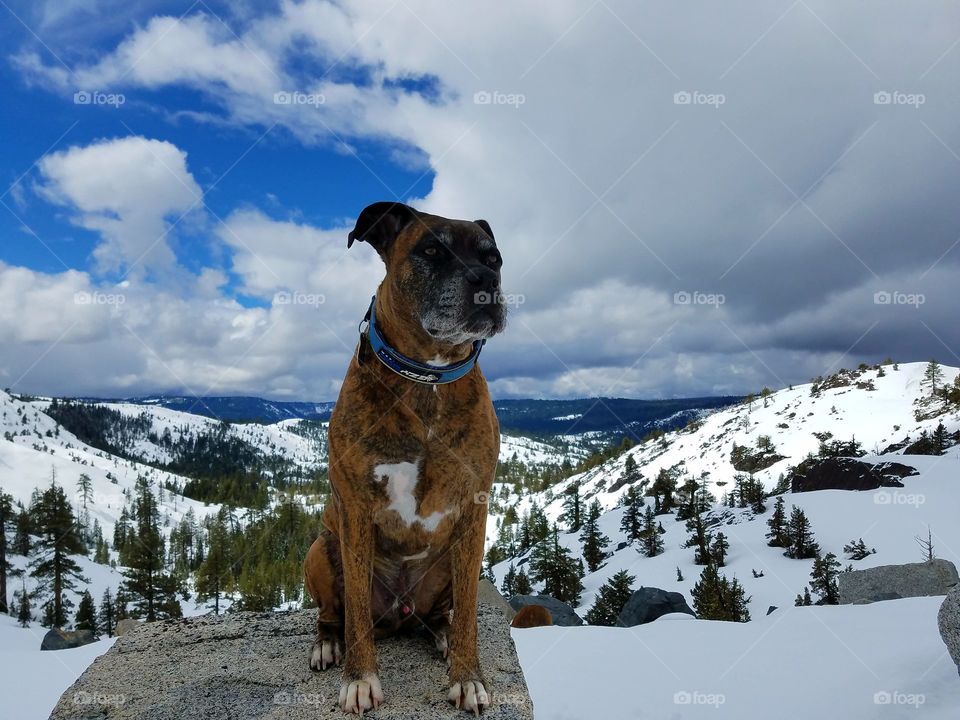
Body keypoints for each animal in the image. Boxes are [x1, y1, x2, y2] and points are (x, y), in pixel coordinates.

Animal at [304, 201, 506, 716]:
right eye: (431, 251)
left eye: (493, 257)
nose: (485, 279)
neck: (426, 378)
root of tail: (399, 615)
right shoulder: (355, 509)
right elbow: (355, 609)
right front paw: (360, 680)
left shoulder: (474, 509)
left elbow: (470, 613)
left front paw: (468, 677)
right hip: (320, 550)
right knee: (333, 614)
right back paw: (329, 643)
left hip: (446, 567)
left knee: (443, 614)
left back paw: (443, 634)